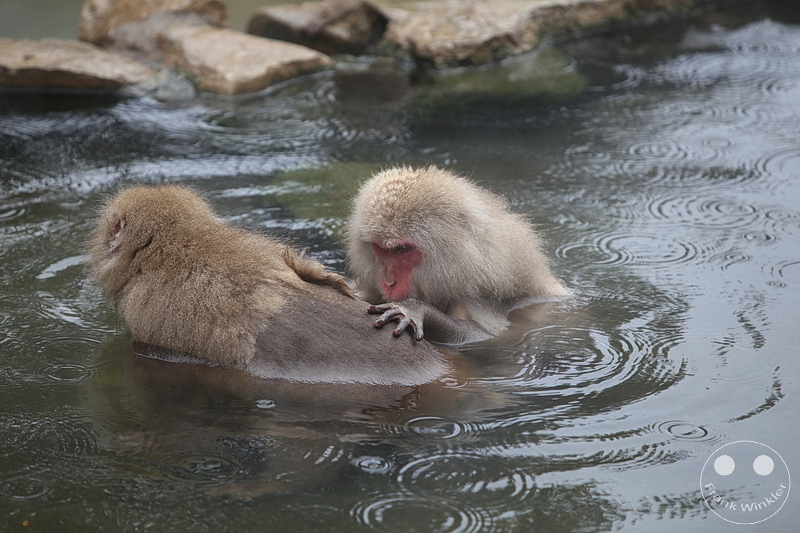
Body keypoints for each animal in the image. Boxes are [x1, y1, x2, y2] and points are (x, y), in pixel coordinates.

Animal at [346, 166, 569, 345]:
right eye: (381, 249)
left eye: (401, 250)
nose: (389, 282)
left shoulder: (476, 297)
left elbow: (487, 337)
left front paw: (414, 309)